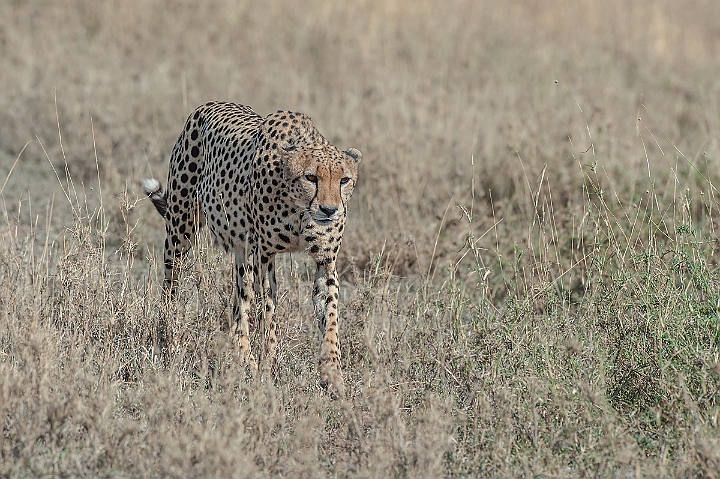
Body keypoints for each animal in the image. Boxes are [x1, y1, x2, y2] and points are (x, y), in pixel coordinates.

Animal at [143, 102, 362, 398]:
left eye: (345, 180)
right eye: (310, 177)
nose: (330, 210)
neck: (299, 210)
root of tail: (210, 104)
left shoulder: (325, 261)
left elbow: (330, 318)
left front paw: (333, 377)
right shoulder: (265, 256)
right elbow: (268, 316)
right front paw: (267, 371)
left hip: (240, 251)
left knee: (240, 302)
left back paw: (244, 357)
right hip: (181, 229)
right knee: (170, 286)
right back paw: (166, 338)